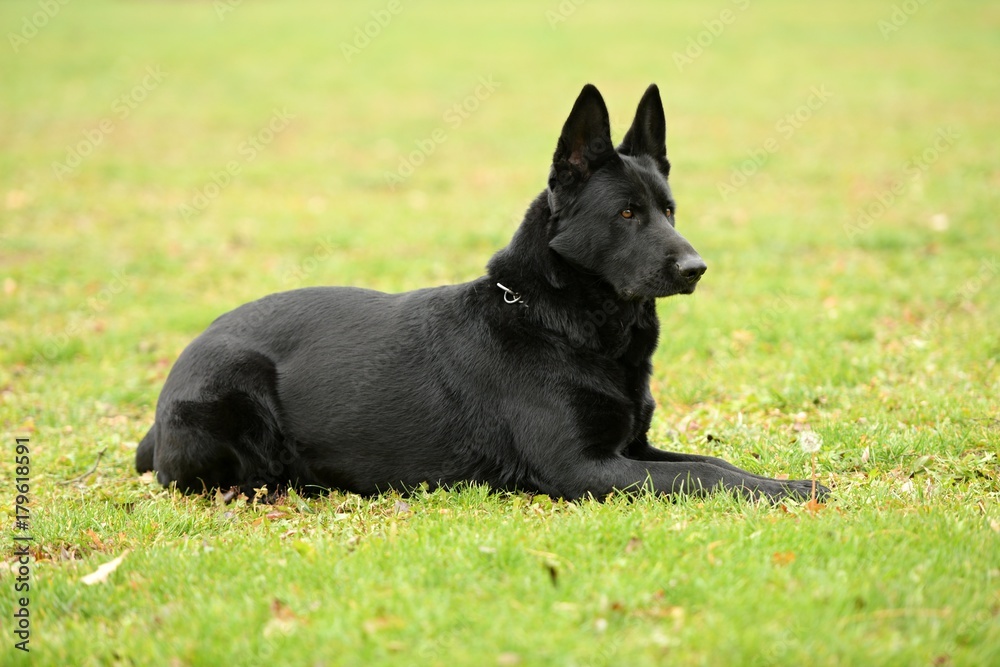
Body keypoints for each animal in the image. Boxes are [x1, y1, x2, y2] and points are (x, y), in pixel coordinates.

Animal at [139, 83, 828, 500]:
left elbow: (714, 466)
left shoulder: (631, 448)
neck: (556, 323)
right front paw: (795, 490)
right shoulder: (585, 468)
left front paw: (783, 480)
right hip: (236, 388)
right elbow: (699, 477)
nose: (696, 268)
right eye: (627, 214)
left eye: (669, 210)